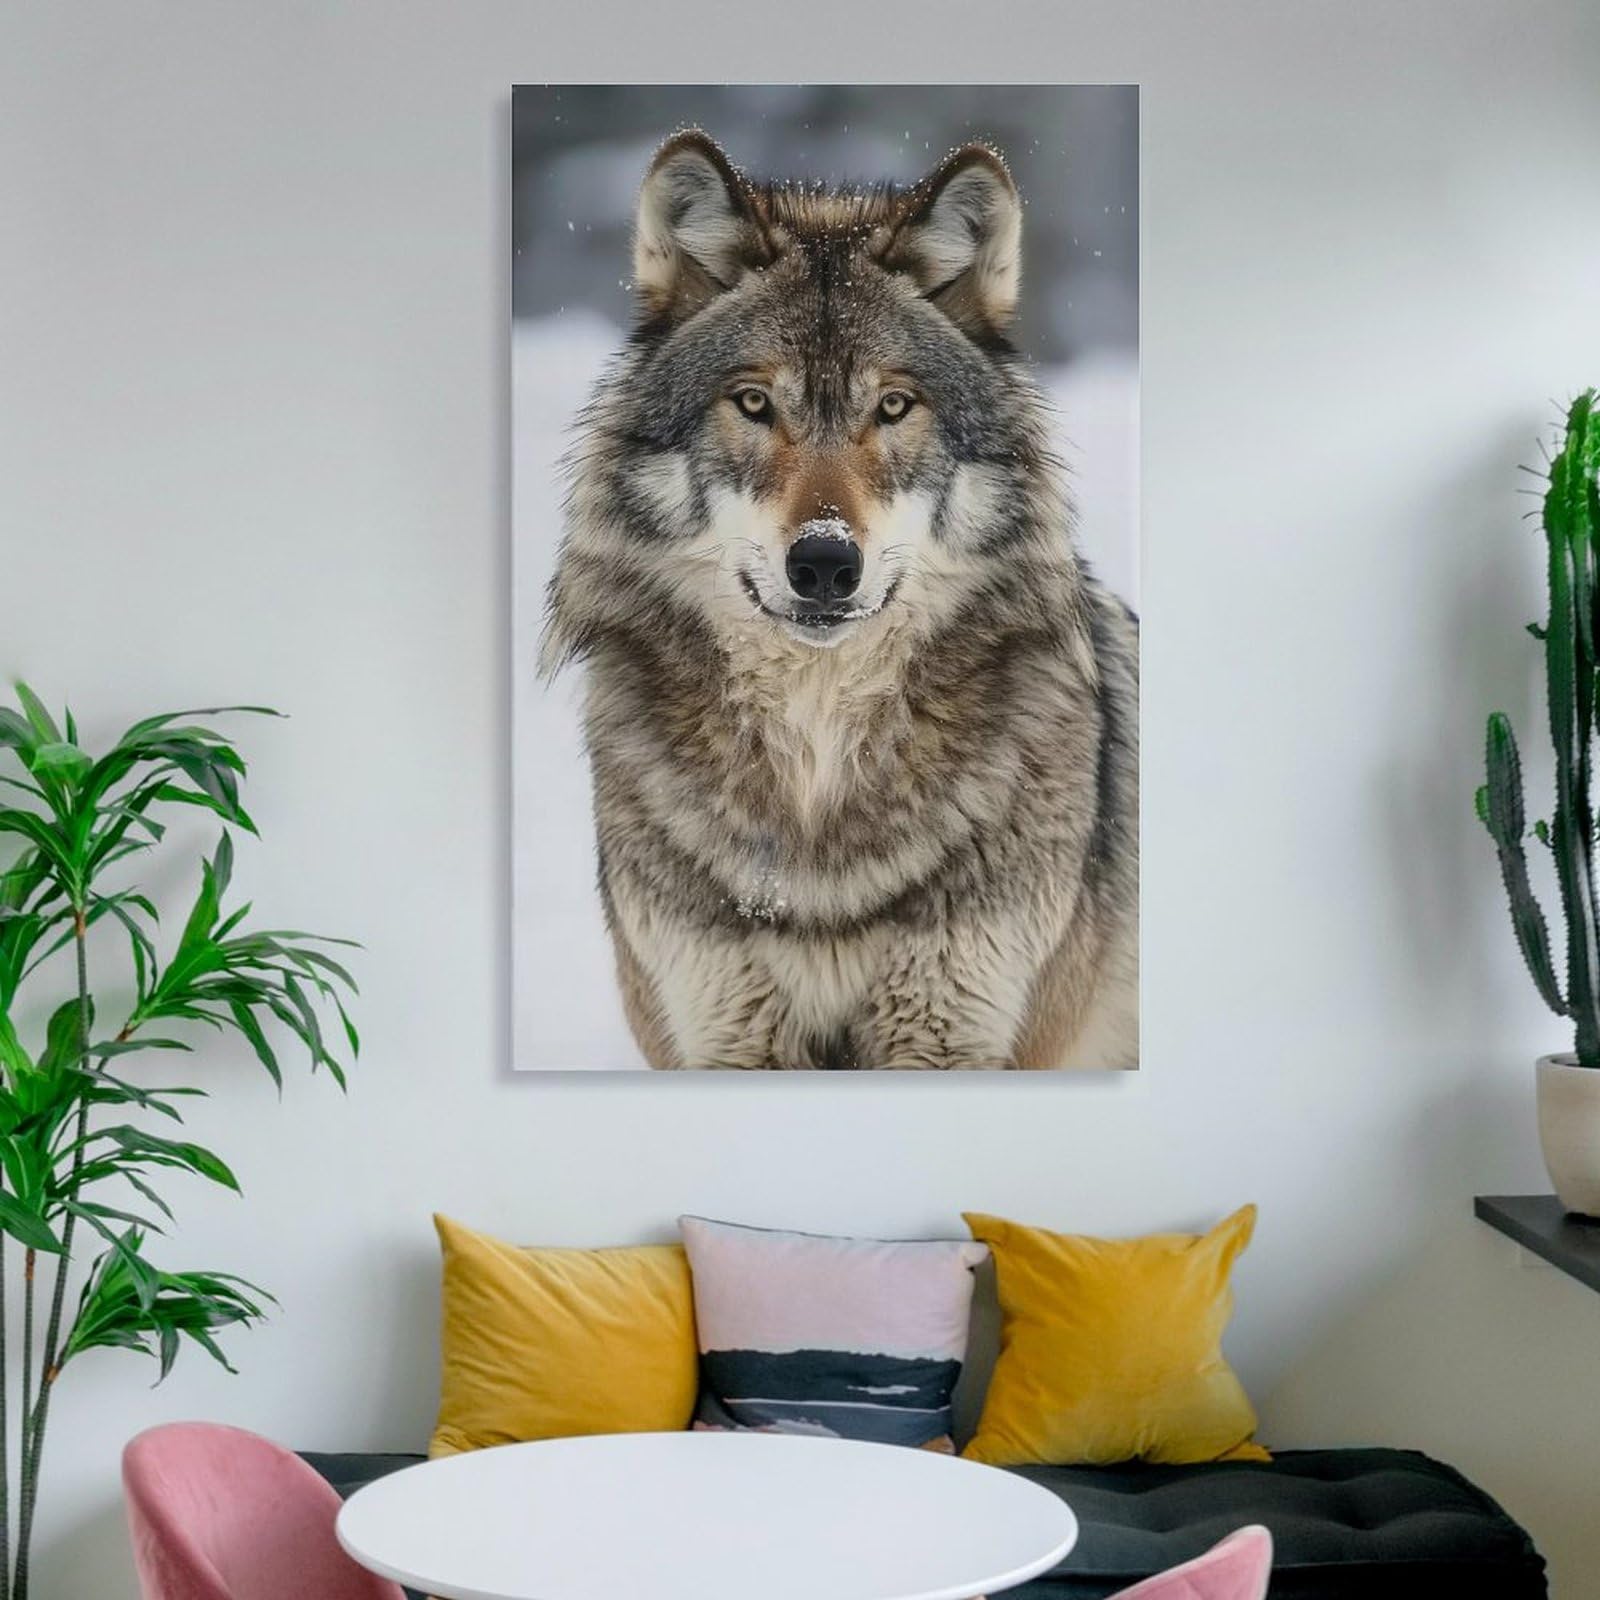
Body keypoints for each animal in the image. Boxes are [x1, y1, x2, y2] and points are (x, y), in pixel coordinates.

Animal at [540, 131, 1138, 1069]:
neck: (817, 767)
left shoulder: (948, 1036)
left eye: (893, 406)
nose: (824, 563)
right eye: (754, 402)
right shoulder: (727, 1037)